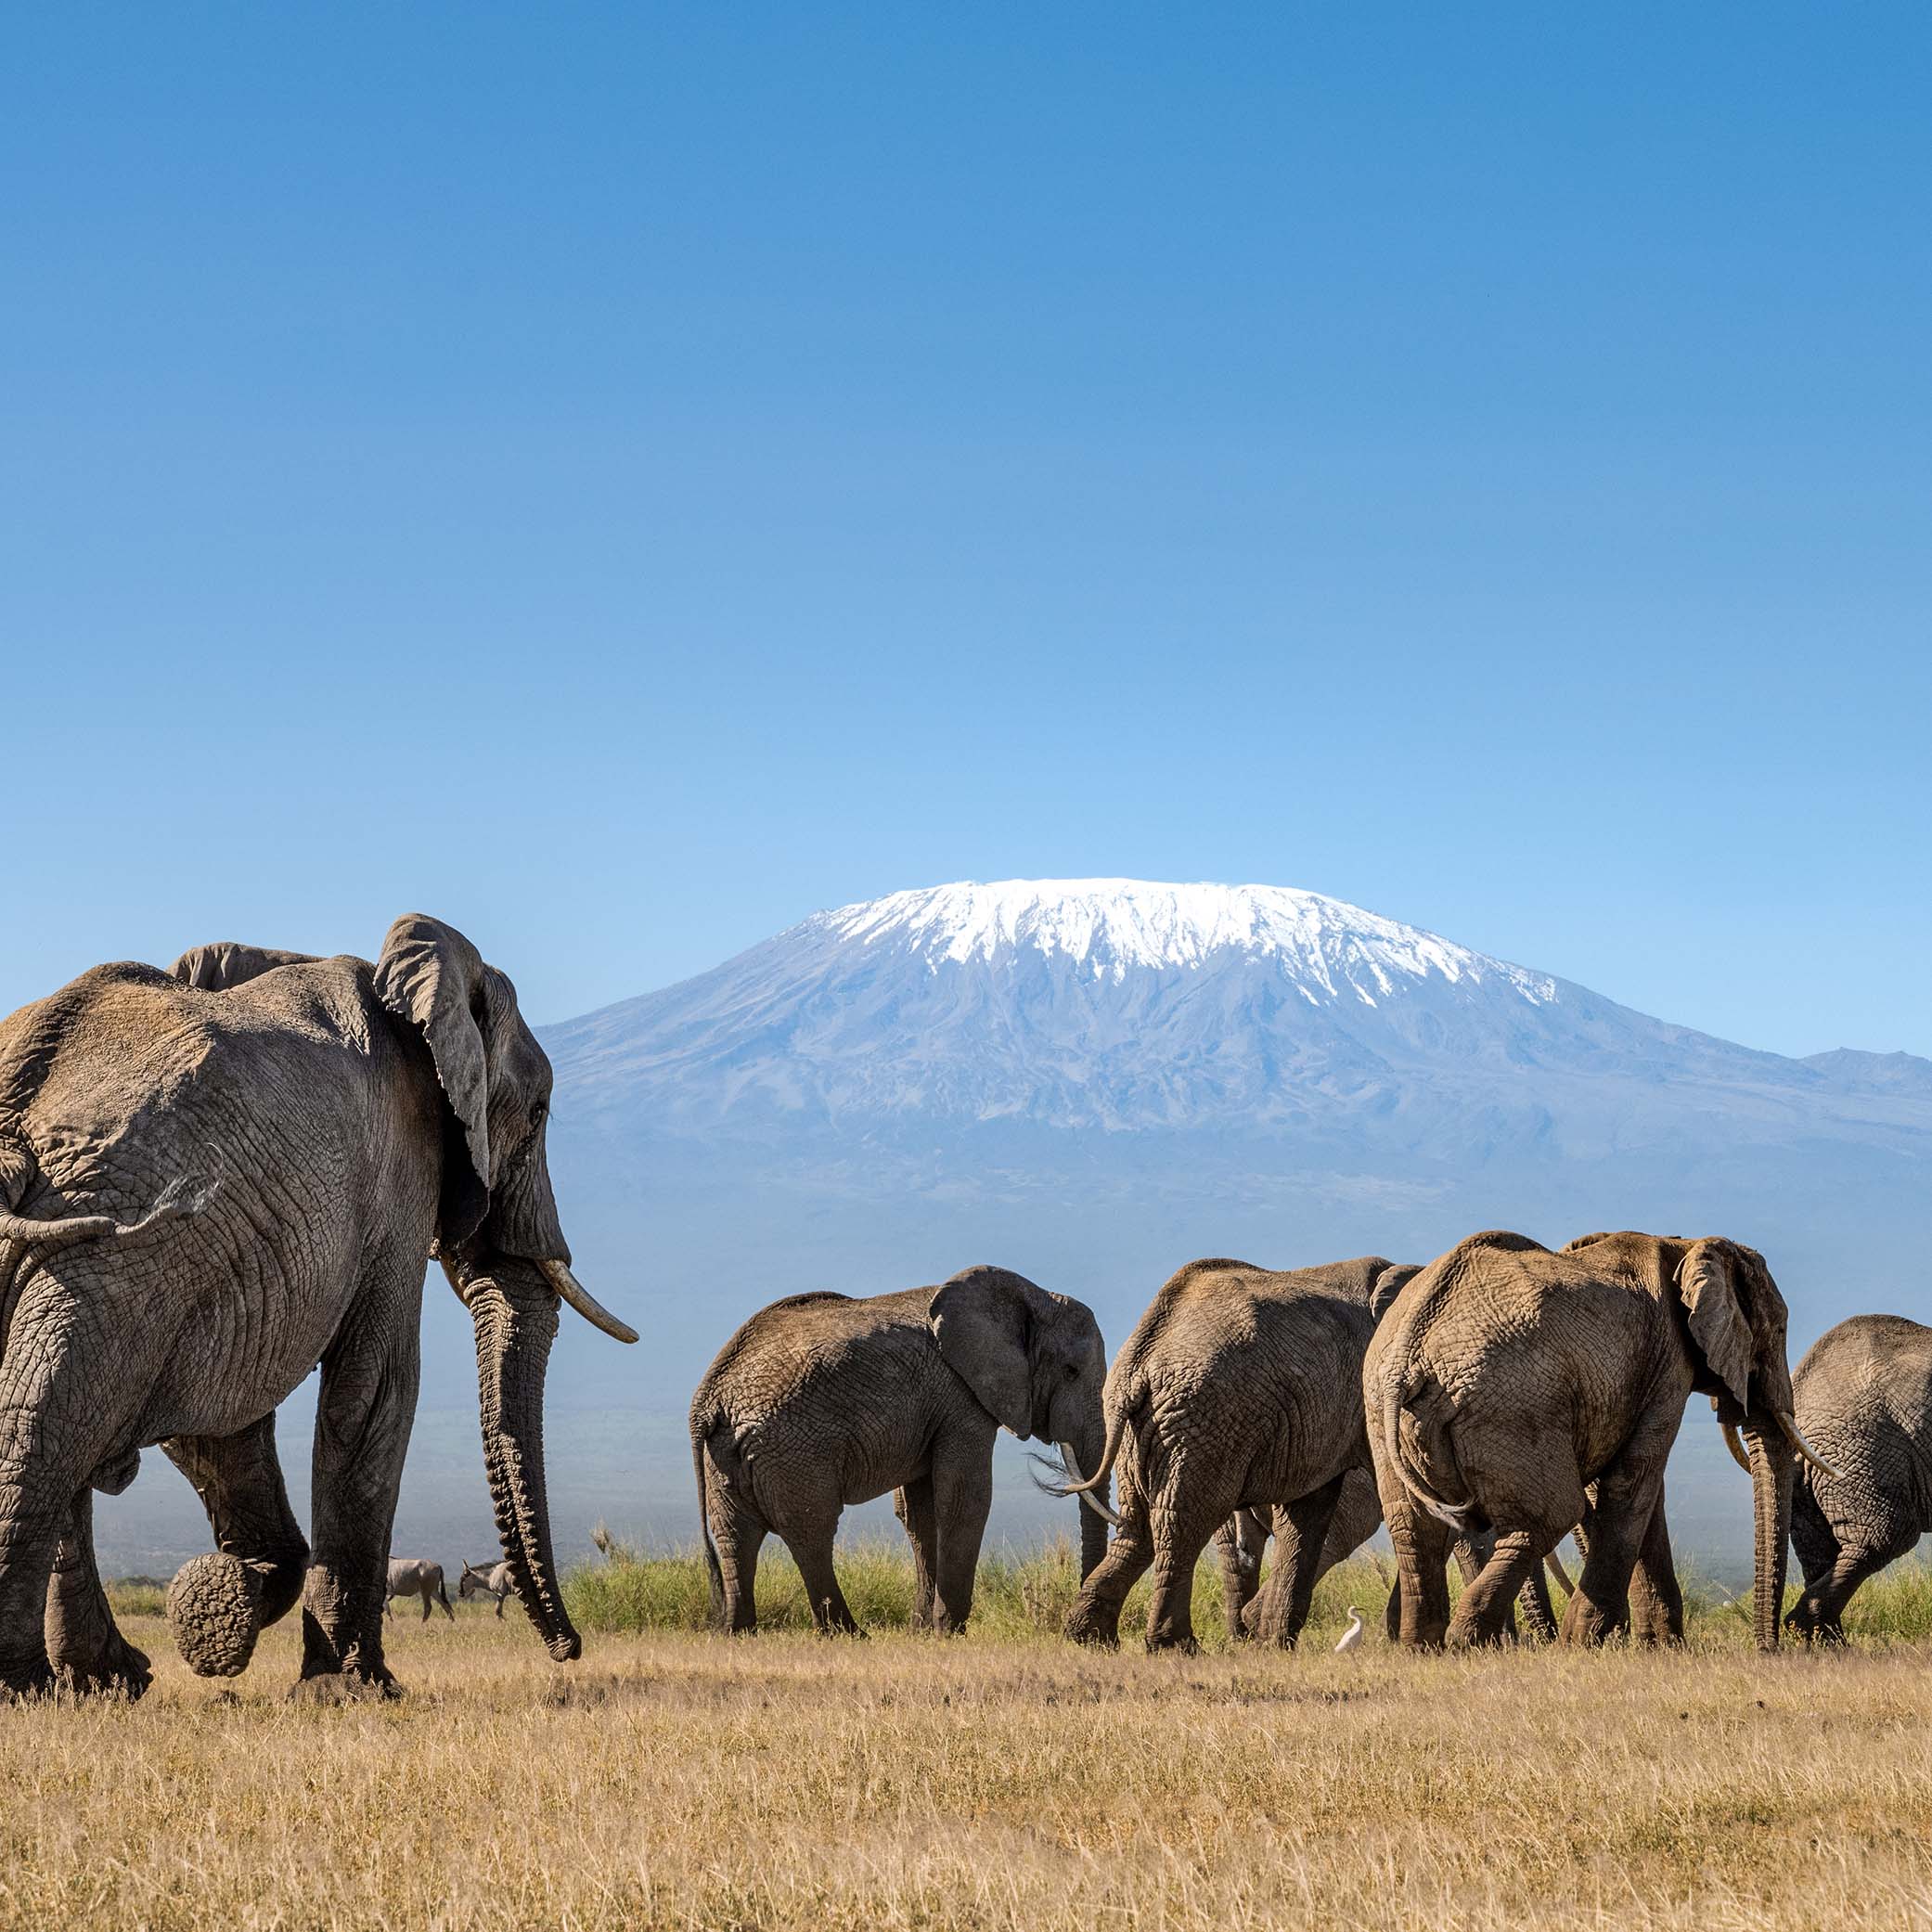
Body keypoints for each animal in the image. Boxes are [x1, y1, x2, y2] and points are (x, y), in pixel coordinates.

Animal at [0, 911, 633, 1700]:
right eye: (540, 1112)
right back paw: (36, 1687)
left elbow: (217, 1424)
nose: (568, 1649)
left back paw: (106, 1680)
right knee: (50, 1417)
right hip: (114, 1246)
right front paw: (352, 1688)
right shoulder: (397, 1169)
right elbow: (376, 1386)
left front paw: (222, 1609)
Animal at [699, 1259, 1120, 1638]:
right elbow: (965, 1499)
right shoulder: (960, 1397)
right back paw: (850, 1634)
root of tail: (708, 1398)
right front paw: (949, 1632)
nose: (1085, 1632)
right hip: (793, 1448)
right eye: (1071, 1371)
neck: (1032, 1296)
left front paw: (923, 1632)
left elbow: (920, 1512)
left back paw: (738, 1632)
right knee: (810, 1529)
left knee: (736, 1535)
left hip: (724, 1455)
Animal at [1058, 1259, 1422, 1654]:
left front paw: (1274, 1645)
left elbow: (1306, 1515)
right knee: (1184, 1521)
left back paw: (1089, 1637)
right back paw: (1177, 1646)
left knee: (1139, 1526)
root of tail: (1142, 1354)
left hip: (1144, 1427)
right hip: (1206, 1419)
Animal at [1368, 1229, 1831, 1654]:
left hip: (1386, 1414)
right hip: (1513, 1405)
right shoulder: (1668, 1363)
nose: (1769, 1649)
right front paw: (1589, 1641)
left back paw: (1423, 1647)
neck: (1686, 1244)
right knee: (1548, 1517)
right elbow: (1636, 1479)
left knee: (1414, 1530)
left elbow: (1639, 1489)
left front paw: (1658, 1646)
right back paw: (1469, 1641)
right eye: (1779, 1329)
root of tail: (1410, 1346)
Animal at [1777, 1313, 1932, 1645]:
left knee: (1819, 1552)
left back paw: (1823, 1642)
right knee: (1884, 1535)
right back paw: (1815, 1635)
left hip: (1808, 1472)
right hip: (1861, 1451)